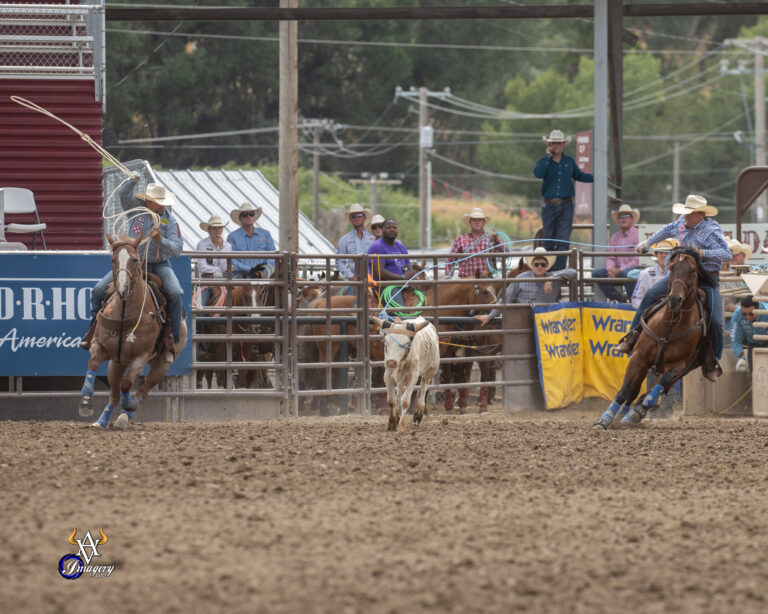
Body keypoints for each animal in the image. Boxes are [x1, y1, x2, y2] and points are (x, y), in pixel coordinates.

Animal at [77, 233, 188, 430]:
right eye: (112, 260)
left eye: (135, 260)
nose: (122, 289)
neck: (124, 314)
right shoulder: (100, 346)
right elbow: (93, 363)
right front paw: (85, 402)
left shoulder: (141, 356)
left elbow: (127, 383)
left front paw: (128, 405)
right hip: (116, 363)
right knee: (114, 395)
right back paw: (101, 421)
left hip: (161, 366)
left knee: (142, 391)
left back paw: (125, 415)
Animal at [592, 248, 712, 430]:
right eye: (671, 268)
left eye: (692, 271)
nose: (675, 299)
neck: (670, 325)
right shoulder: (639, 357)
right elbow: (625, 389)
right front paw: (603, 420)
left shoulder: (678, 366)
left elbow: (659, 385)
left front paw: (638, 411)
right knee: (635, 390)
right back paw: (623, 414)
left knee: (657, 389)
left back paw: (637, 412)